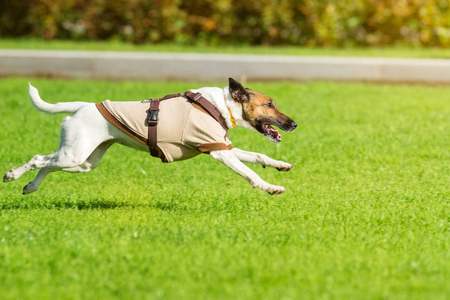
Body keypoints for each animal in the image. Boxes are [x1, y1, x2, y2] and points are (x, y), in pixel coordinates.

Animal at [5, 78, 298, 195]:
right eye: (269, 104)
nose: (294, 124)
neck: (220, 105)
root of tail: (84, 106)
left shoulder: (222, 146)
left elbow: (259, 156)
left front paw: (281, 165)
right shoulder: (218, 152)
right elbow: (251, 173)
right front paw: (271, 187)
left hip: (83, 161)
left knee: (47, 164)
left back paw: (30, 187)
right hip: (74, 154)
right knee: (37, 159)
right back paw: (12, 175)